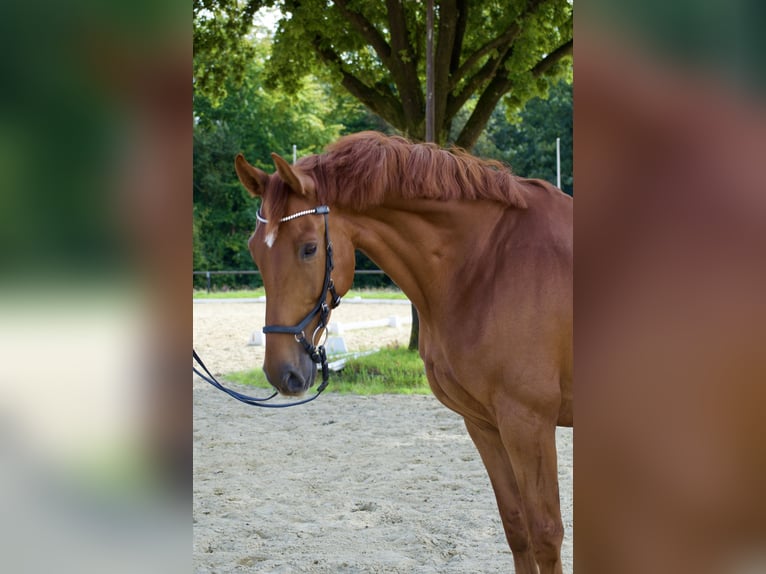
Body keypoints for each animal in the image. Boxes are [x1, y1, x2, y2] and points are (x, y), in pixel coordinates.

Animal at [237, 133, 572, 572]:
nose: (282, 373)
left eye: (309, 248)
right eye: (255, 251)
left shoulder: (528, 423)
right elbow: (517, 528)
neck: (489, 265)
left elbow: (545, 534)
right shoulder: (484, 424)